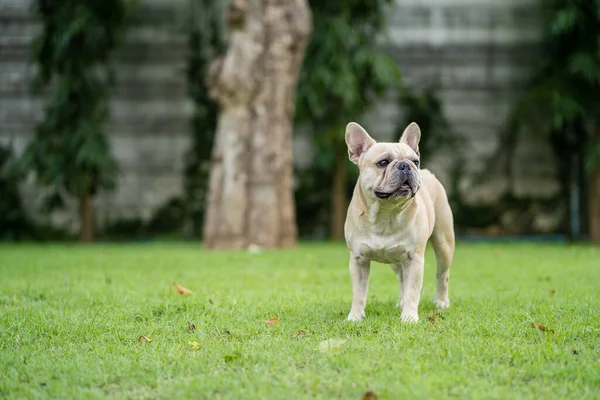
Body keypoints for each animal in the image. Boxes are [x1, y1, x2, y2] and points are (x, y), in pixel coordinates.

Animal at [342, 121, 454, 322]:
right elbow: (359, 293)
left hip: (444, 245)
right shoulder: (358, 260)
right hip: (395, 261)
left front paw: (409, 318)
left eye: (415, 161)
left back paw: (441, 302)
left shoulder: (414, 259)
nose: (406, 165)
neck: (386, 213)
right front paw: (355, 317)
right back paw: (401, 303)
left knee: (442, 275)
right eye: (383, 163)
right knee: (402, 278)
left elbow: (413, 290)